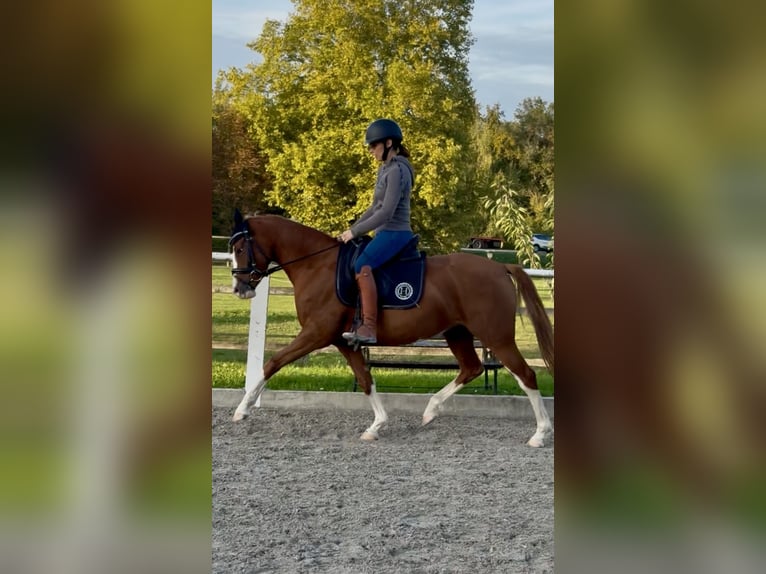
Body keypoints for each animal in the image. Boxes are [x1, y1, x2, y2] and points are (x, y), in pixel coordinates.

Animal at [228, 212, 554, 447]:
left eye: (241, 248)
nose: (239, 288)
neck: (317, 265)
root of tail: (500, 267)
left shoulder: (316, 333)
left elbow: (273, 362)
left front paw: (242, 409)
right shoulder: (343, 341)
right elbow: (365, 379)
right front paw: (377, 426)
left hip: (496, 337)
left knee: (525, 375)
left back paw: (540, 434)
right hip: (458, 333)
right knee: (471, 368)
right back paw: (430, 410)